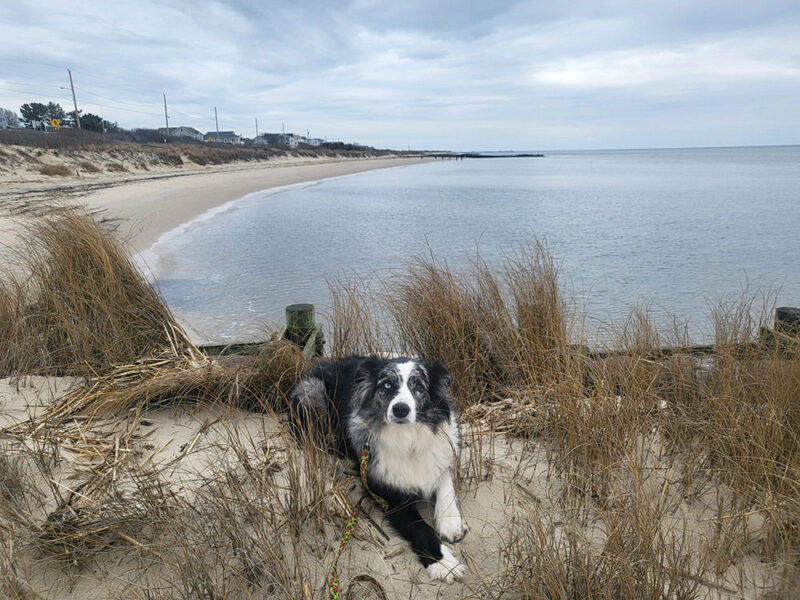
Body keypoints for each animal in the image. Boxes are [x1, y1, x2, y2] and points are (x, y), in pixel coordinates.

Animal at [290, 356, 468, 580]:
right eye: (387, 385)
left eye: (418, 385)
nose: (400, 409)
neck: (408, 438)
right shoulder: (385, 491)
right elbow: (418, 526)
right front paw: (442, 562)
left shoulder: (442, 451)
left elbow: (445, 480)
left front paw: (451, 521)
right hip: (311, 391)